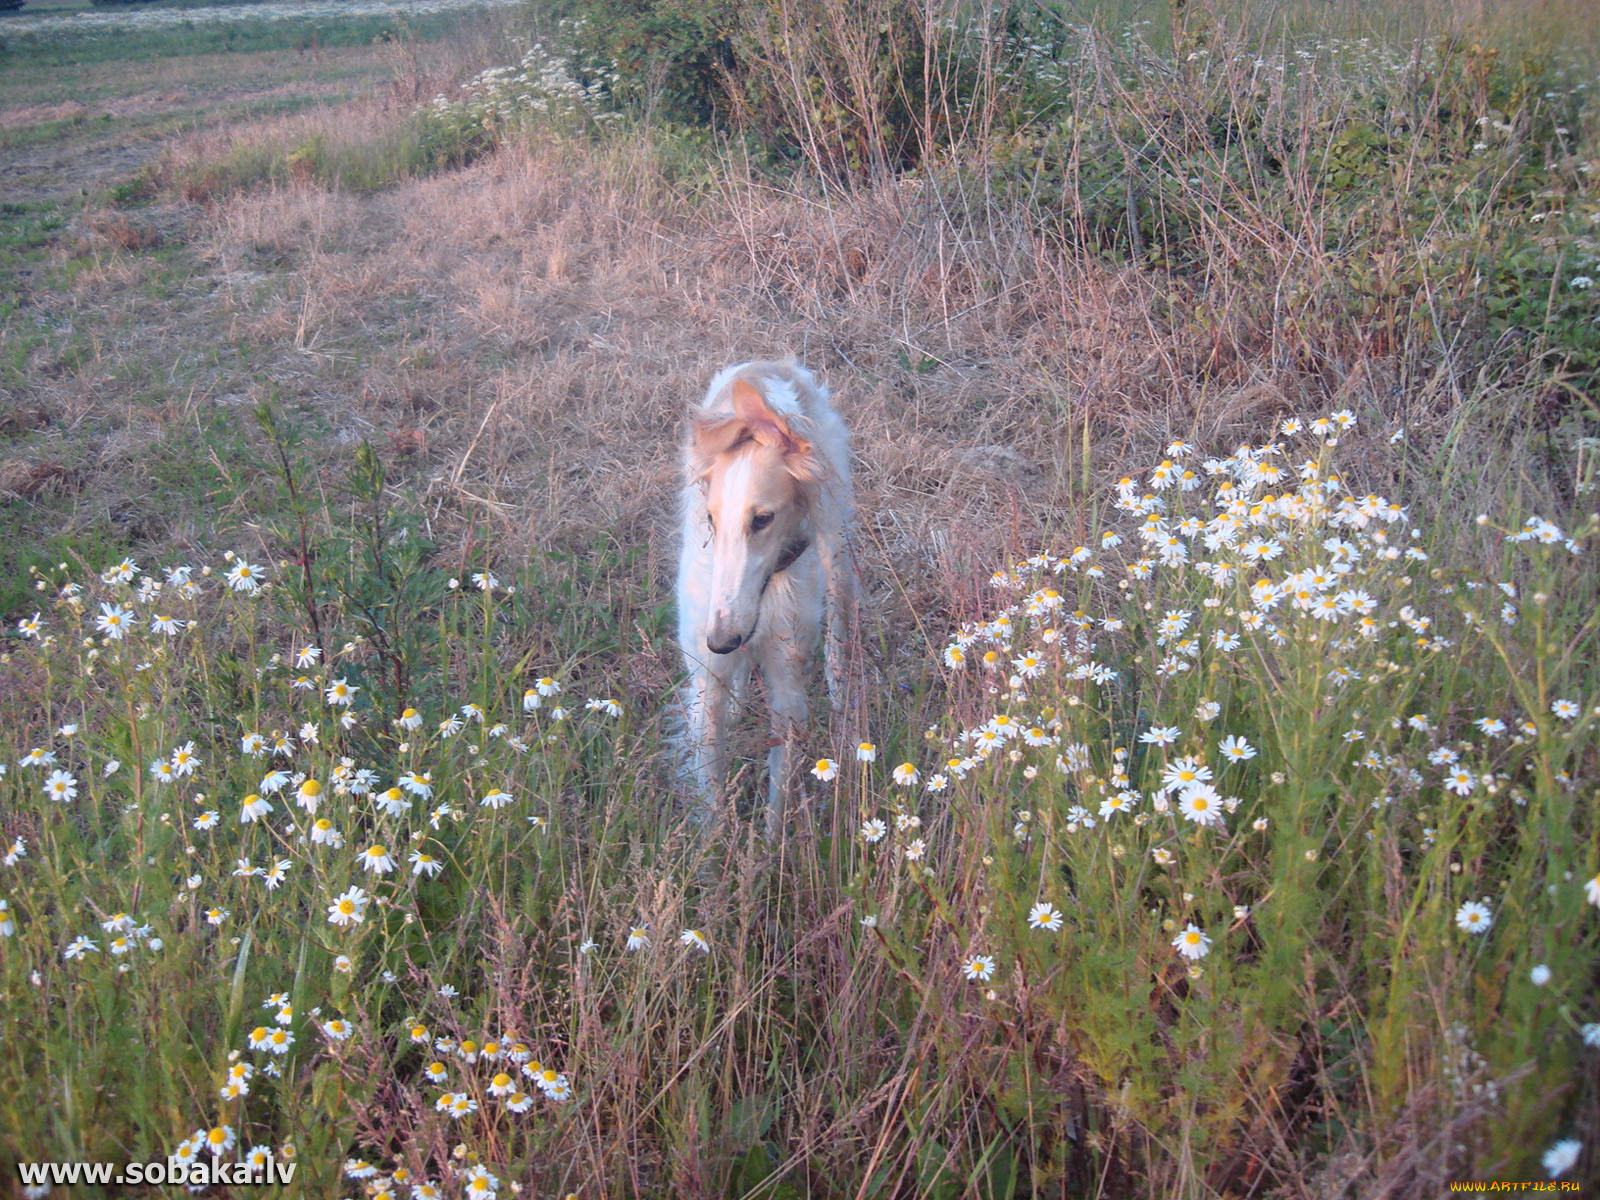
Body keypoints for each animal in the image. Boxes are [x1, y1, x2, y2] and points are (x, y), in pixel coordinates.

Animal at [675, 361, 857, 838]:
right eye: (710, 519)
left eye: (762, 519)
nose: (723, 640)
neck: (760, 597)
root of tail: (770, 364)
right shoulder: (706, 677)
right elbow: (710, 786)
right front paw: (714, 847)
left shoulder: (787, 679)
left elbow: (781, 787)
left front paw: (772, 848)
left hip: (835, 541)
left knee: (840, 623)